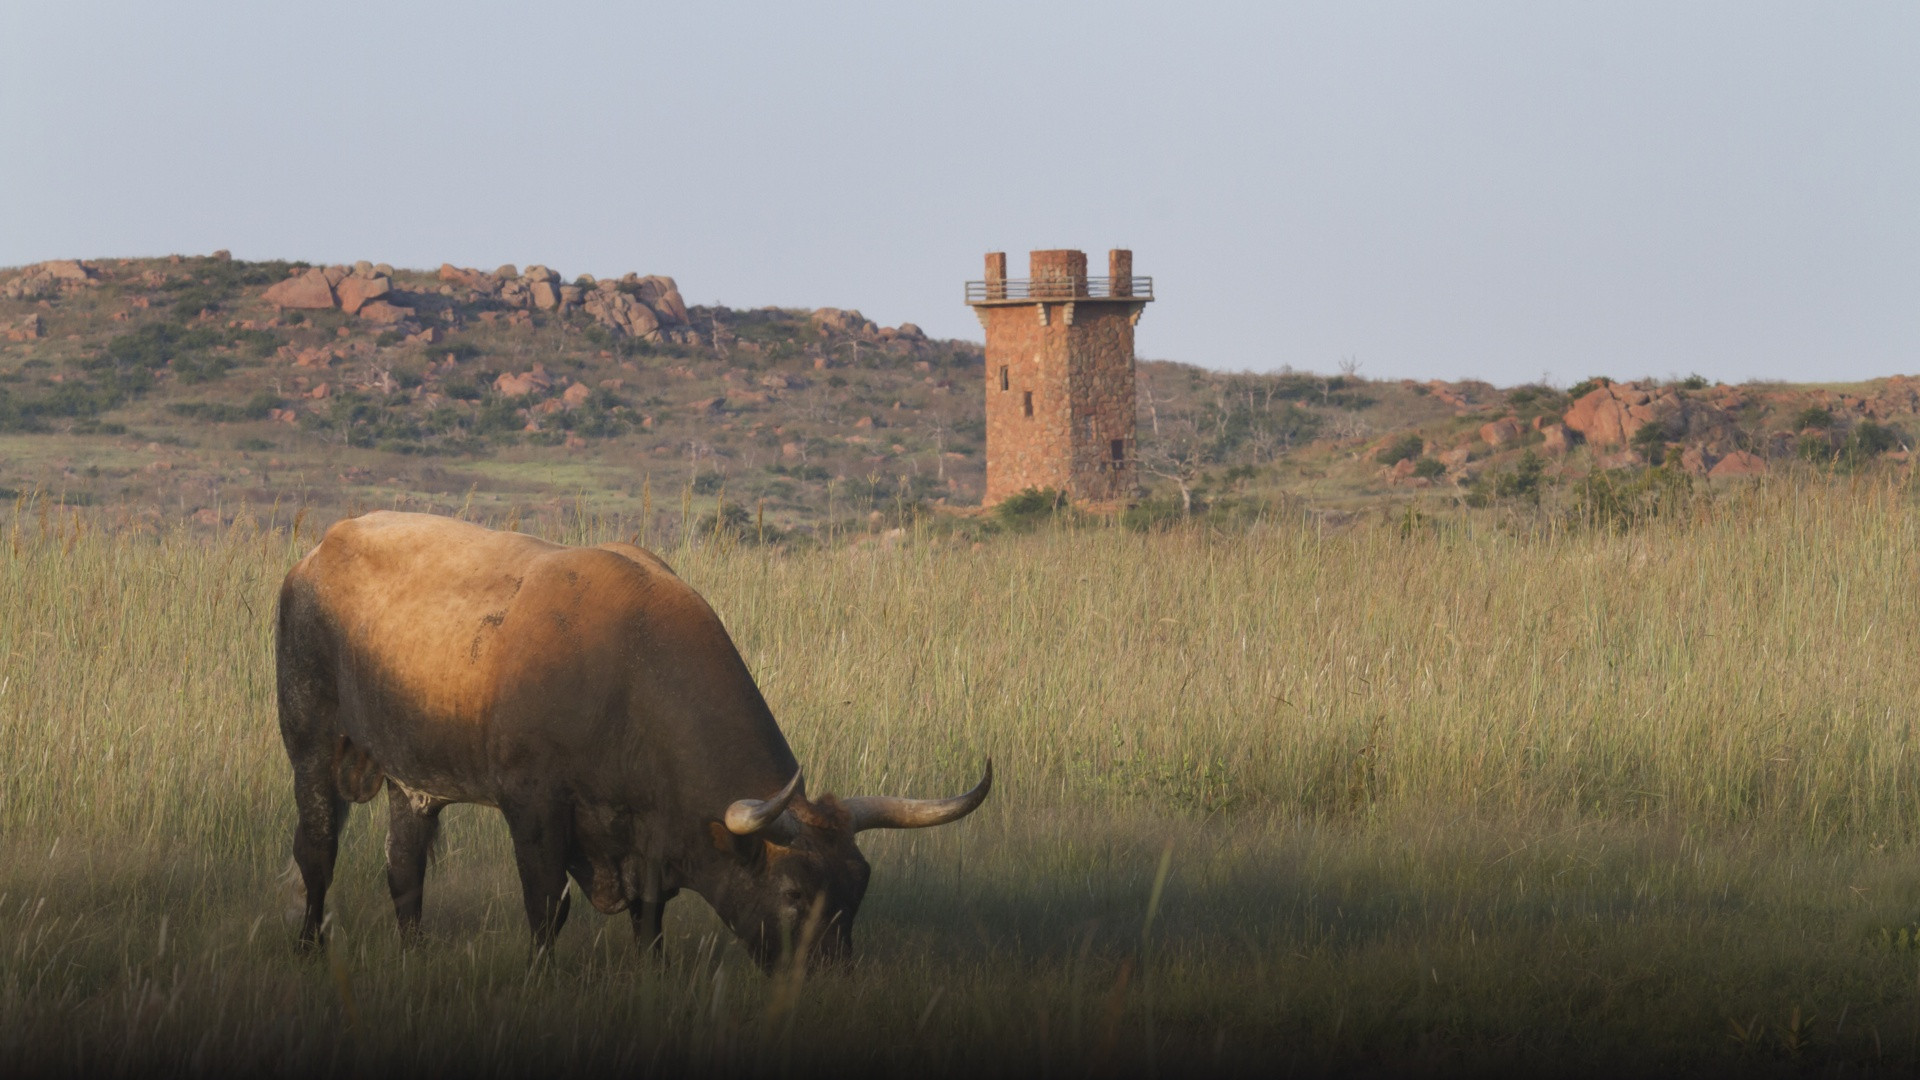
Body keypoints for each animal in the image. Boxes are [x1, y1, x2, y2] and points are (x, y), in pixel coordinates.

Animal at [275, 511, 989, 969]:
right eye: (792, 895)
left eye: (858, 886)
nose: (829, 979)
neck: (626, 670)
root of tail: (319, 552)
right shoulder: (534, 807)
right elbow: (546, 906)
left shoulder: (646, 840)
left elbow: (648, 921)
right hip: (310, 742)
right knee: (317, 852)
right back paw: (308, 948)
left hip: (410, 781)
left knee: (405, 870)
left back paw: (415, 953)